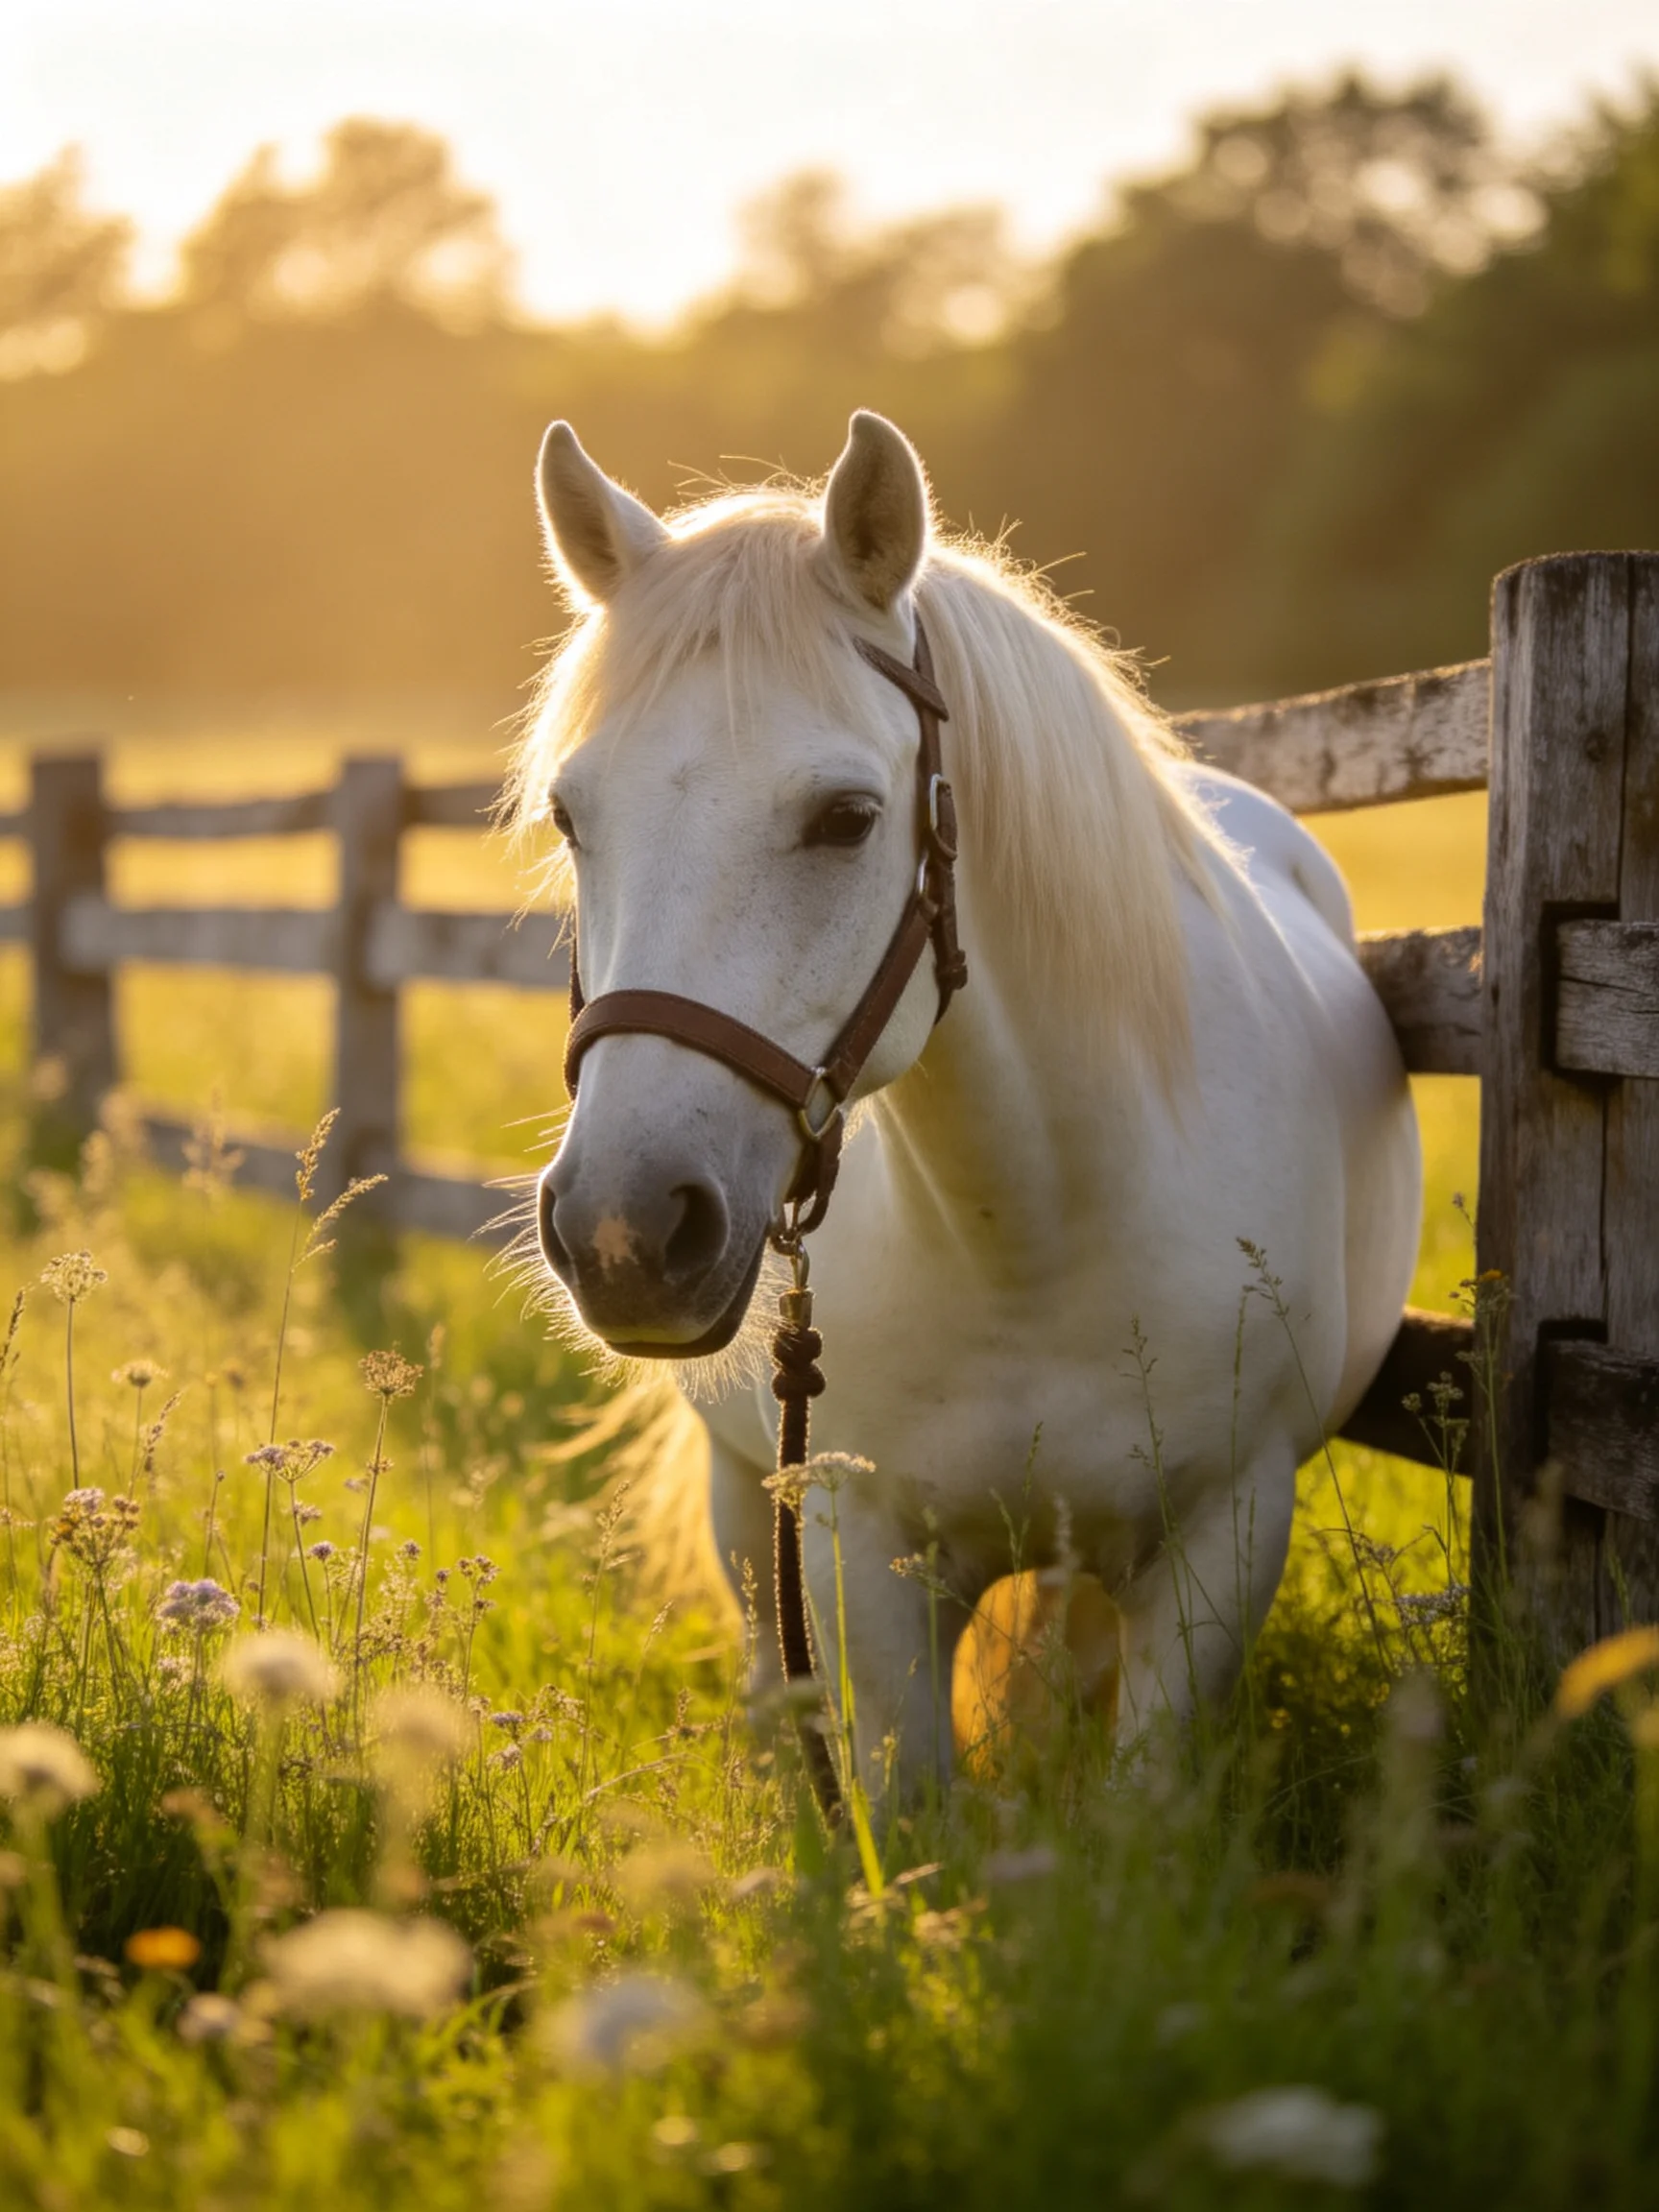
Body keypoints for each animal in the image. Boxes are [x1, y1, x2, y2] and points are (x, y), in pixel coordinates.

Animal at [512, 409, 1421, 1799]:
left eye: (847, 818)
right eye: (571, 815)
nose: (624, 1230)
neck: (1030, 1231)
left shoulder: (1226, 1537)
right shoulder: (855, 1549)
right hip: (745, 1499)